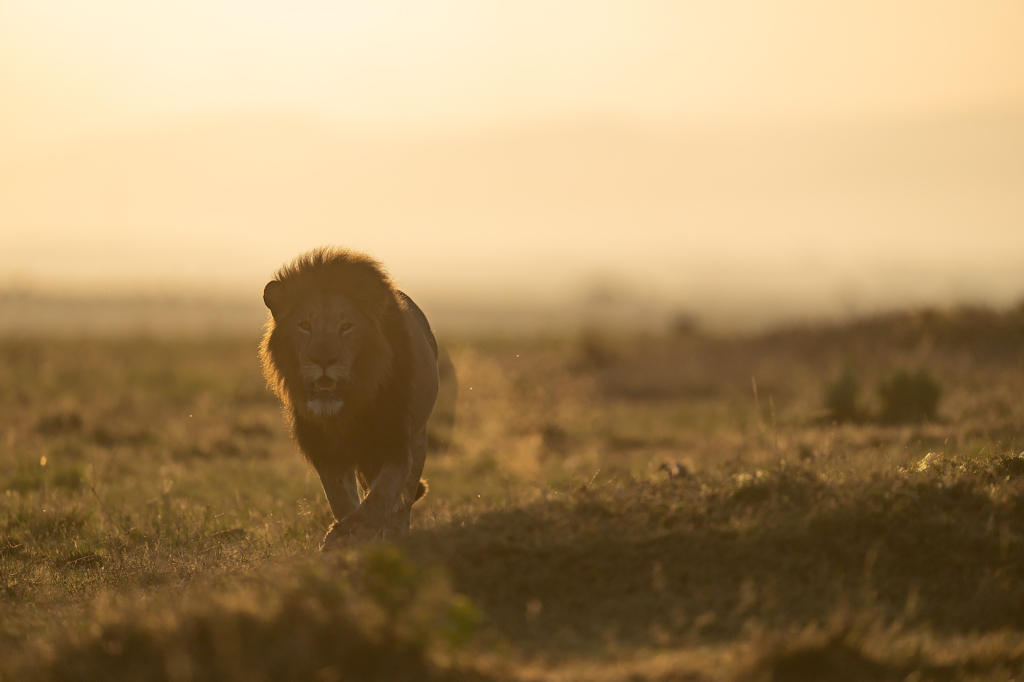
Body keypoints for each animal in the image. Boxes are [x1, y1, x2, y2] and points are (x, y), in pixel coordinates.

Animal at [258, 246, 438, 544]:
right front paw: (347, 537)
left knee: (405, 501)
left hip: (419, 436)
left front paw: (349, 533)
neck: (347, 409)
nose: (323, 360)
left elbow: (382, 497)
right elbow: (341, 500)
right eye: (305, 325)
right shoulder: (325, 450)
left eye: (346, 327)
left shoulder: (394, 443)